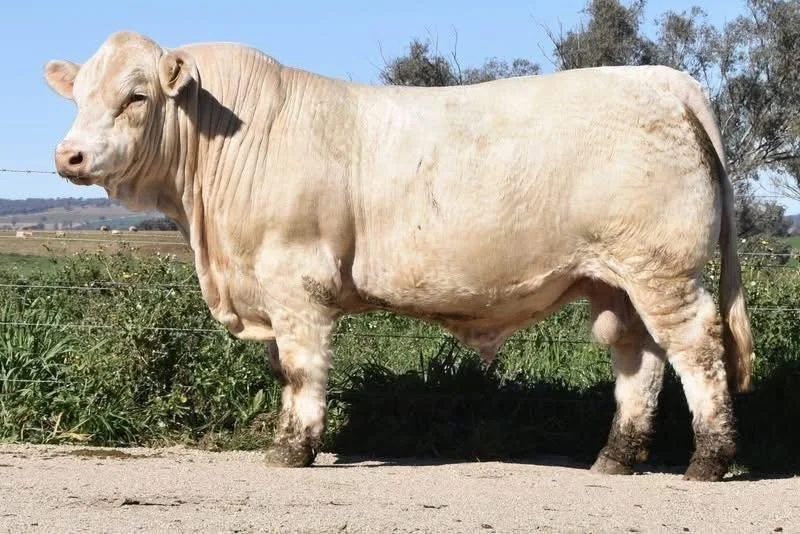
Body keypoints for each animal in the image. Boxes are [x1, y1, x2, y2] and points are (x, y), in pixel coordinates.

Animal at [43, 31, 755, 482]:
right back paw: (616, 458)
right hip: (615, 280)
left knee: (696, 348)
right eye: (78, 96)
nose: (68, 155)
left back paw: (709, 460)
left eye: (136, 95)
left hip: (663, 270)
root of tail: (664, 79)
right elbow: (283, 373)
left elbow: (301, 371)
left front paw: (292, 451)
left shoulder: (295, 281)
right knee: (638, 357)